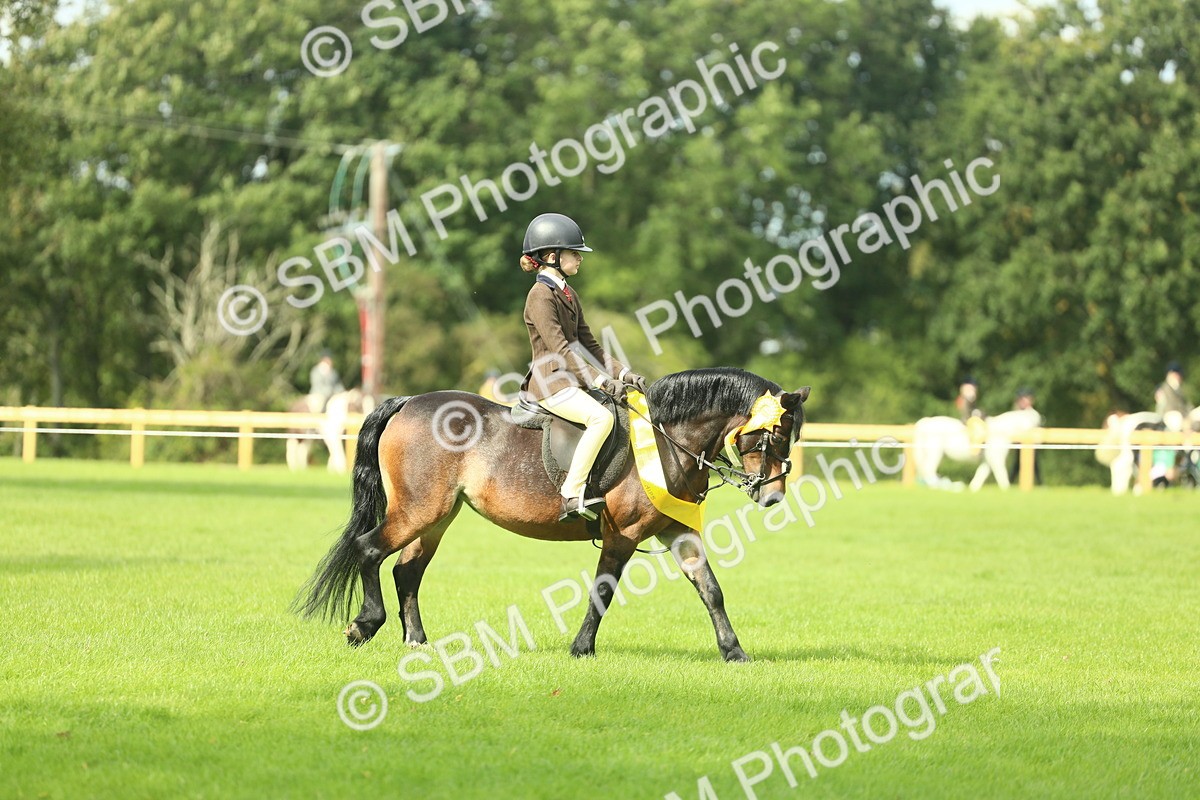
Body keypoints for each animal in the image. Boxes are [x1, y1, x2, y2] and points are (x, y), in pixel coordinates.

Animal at [294, 368, 809, 662]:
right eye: (774, 434)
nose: (773, 498)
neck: (667, 439)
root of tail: (407, 403)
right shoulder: (623, 535)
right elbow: (602, 592)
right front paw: (582, 649)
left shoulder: (677, 531)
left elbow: (711, 591)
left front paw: (734, 652)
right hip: (418, 511)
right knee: (369, 550)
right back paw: (364, 625)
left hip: (437, 518)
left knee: (407, 571)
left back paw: (417, 640)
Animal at [912, 408, 1042, 491]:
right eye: (1037, 424)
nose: (1039, 440)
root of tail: (925, 421)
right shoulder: (996, 459)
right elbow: (1001, 473)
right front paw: (1006, 488)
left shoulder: (988, 461)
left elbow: (981, 473)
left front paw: (973, 488)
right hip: (935, 453)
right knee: (928, 469)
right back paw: (936, 486)